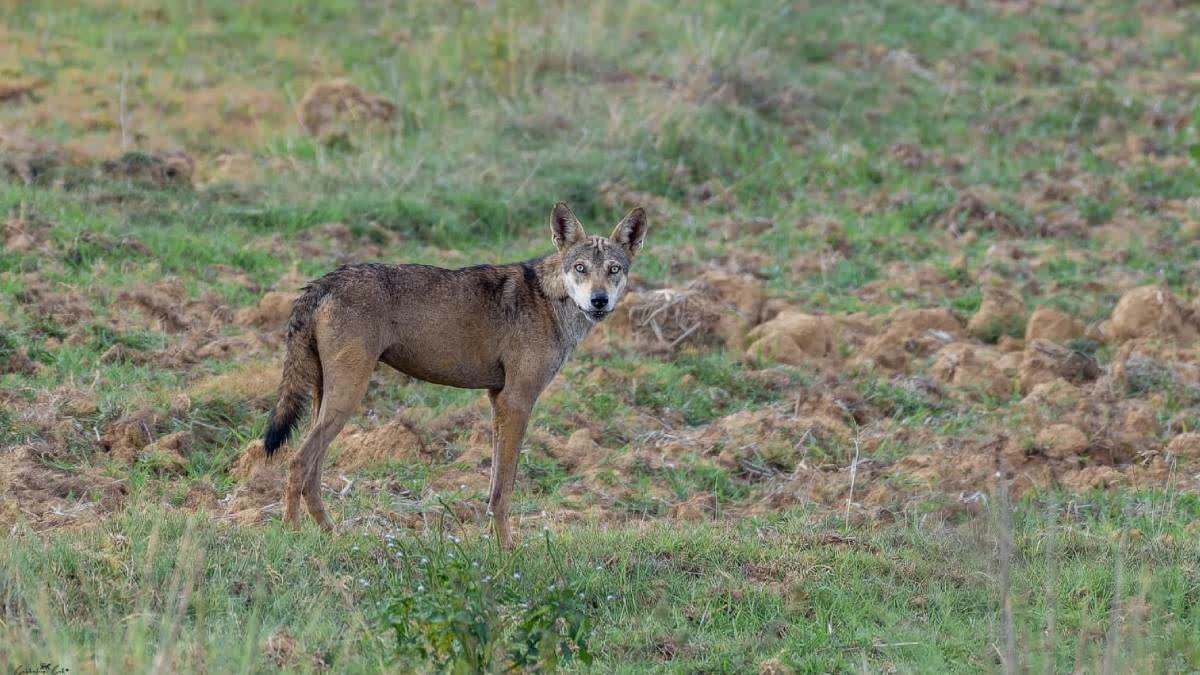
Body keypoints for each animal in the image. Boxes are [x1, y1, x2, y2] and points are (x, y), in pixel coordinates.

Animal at [263, 202, 647, 546]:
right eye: (580, 268)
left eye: (614, 269)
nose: (599, 300)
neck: (549, 300)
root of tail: (324, 281)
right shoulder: (517, 401)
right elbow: (504, 489)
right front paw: (507, 550)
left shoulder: (498, 401)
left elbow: (494, 486)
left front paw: (492, 544)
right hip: (347, 398)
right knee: (297, 462)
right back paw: (292, 535)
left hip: (328, 399)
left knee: (312, 472)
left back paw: (331, 534)